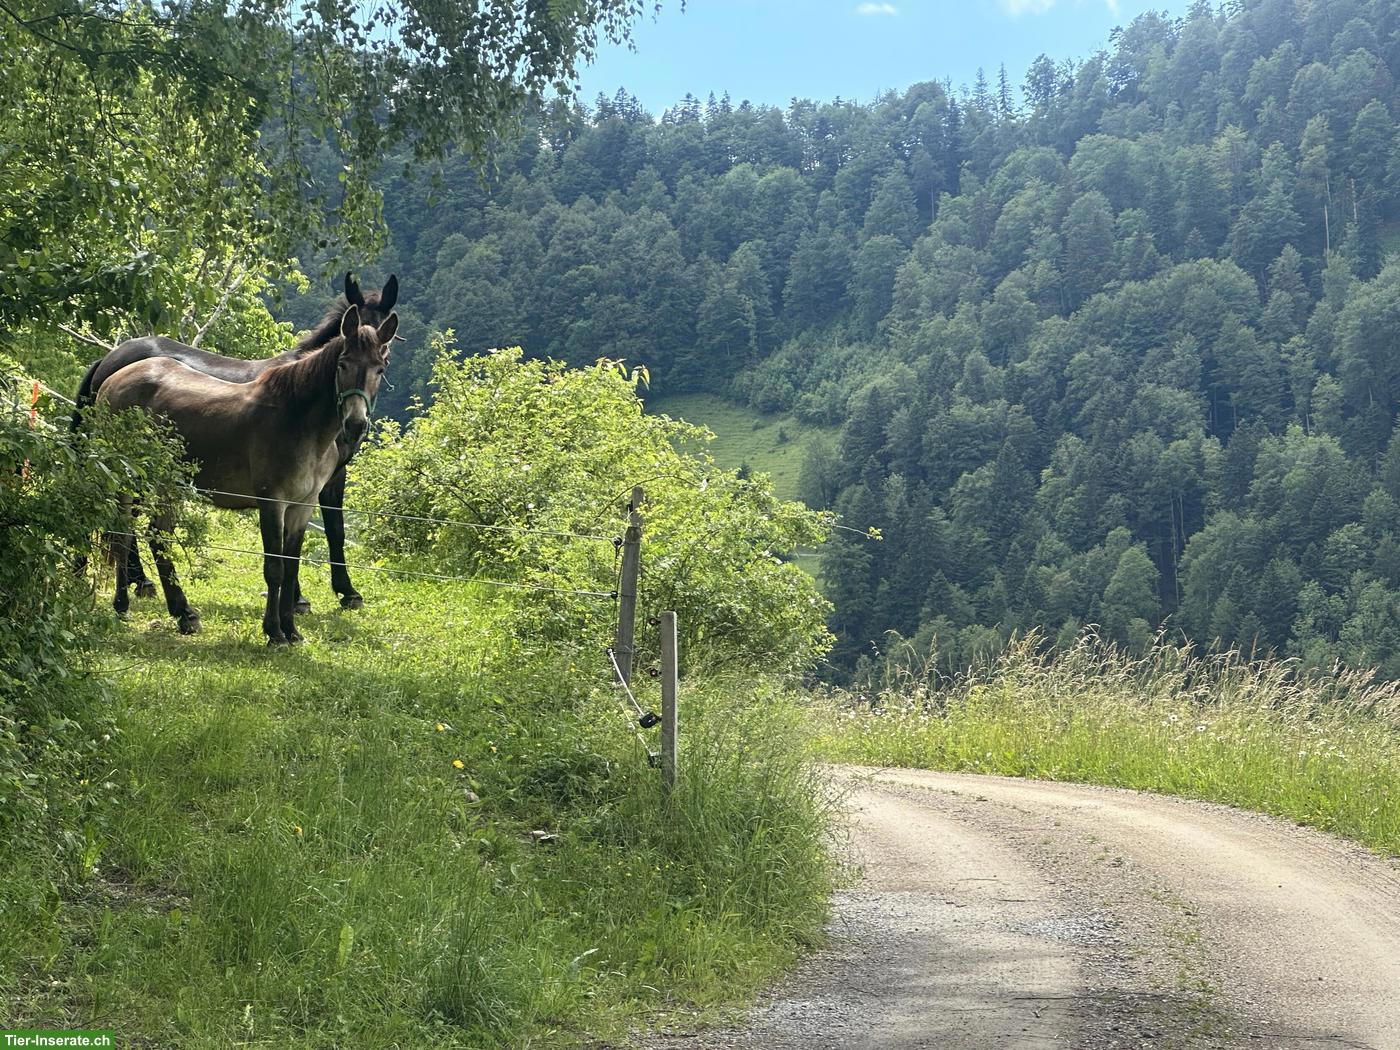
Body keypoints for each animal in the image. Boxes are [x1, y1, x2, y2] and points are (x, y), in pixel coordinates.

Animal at [73, 272, 398, 611]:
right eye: (345, 360)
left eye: (384, 355)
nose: (355, 426)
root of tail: (108, 360)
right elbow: (322, 535)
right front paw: (322, 595)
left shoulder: (328, 477)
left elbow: (332, 531)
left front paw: (337, 592)